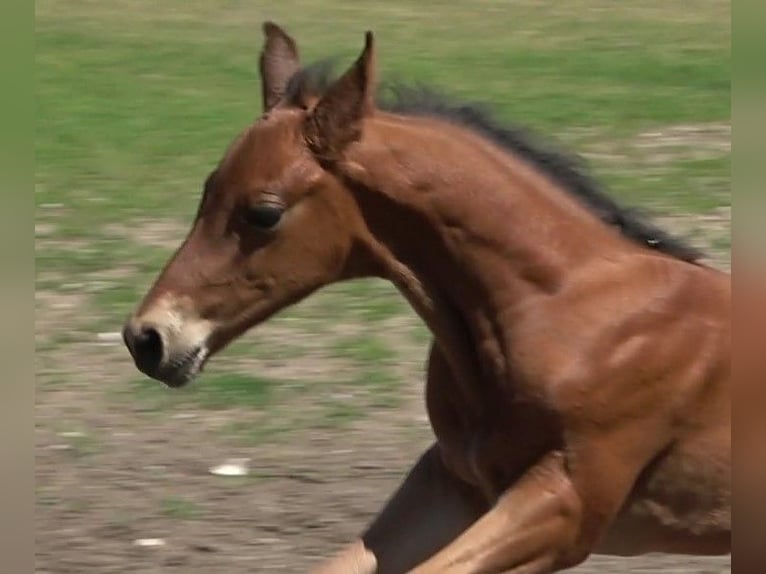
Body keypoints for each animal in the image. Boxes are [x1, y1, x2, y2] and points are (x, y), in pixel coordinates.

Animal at [124, 23, 732, 574]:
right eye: (208, 190)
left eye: (263, 213)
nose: (147, 337)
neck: (563, 308)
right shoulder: (453, 483)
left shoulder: (568, 502)